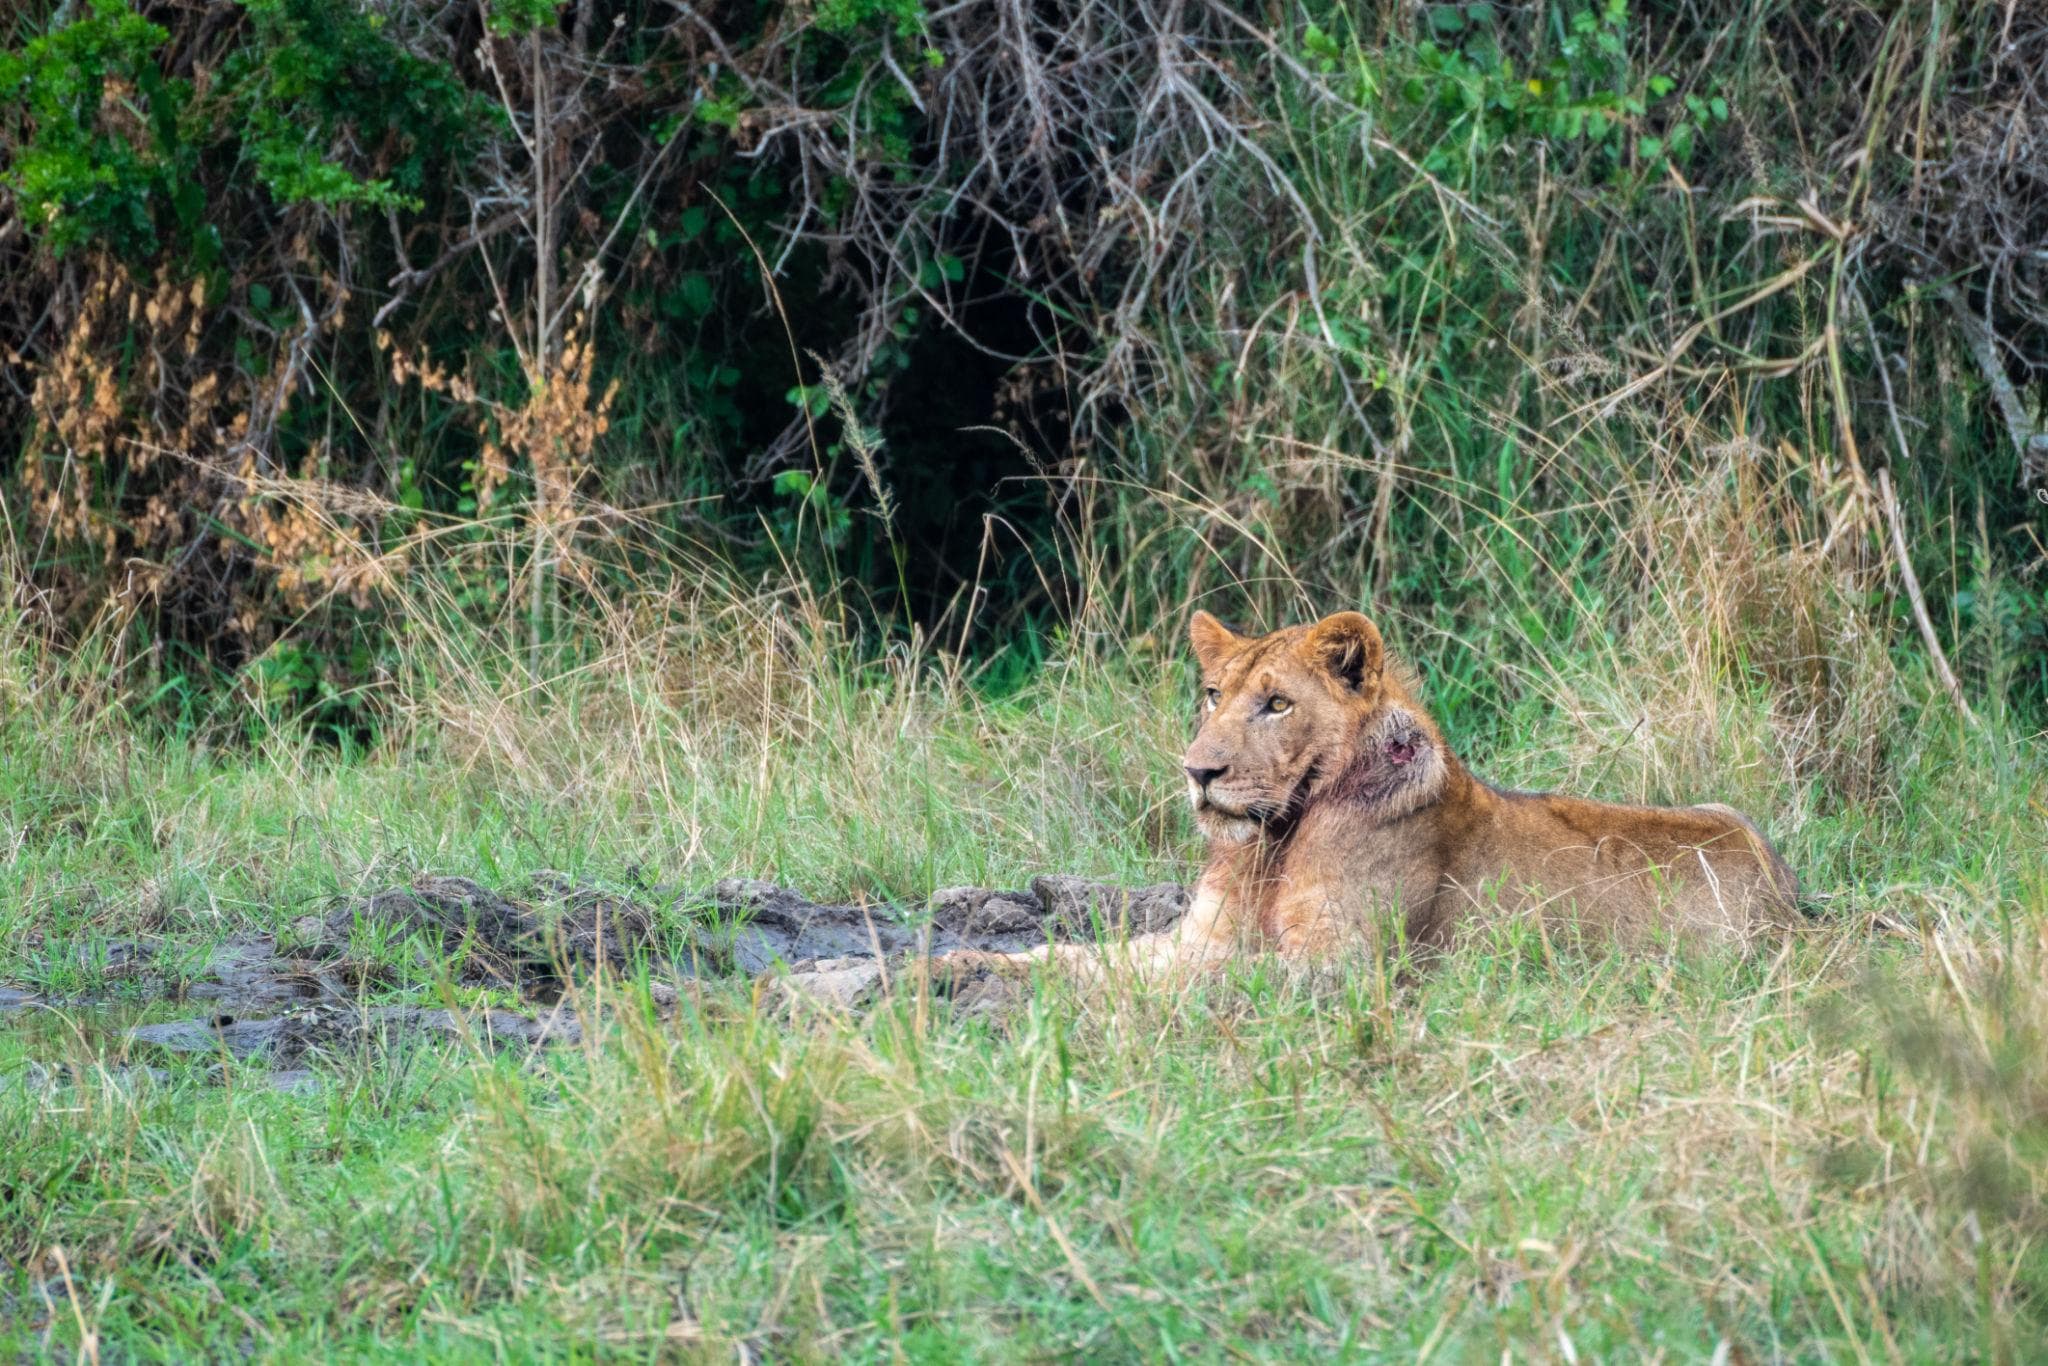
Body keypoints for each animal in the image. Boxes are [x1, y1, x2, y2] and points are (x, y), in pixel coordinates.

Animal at [947, 609, 1801, 981]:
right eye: (1214, 694)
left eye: (1277, 704)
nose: (1198, 772)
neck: (1275, 840)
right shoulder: (1200, 937)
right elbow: (1073, 955)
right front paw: (955, 965)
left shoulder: (1342, 967)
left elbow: (1181, 983)